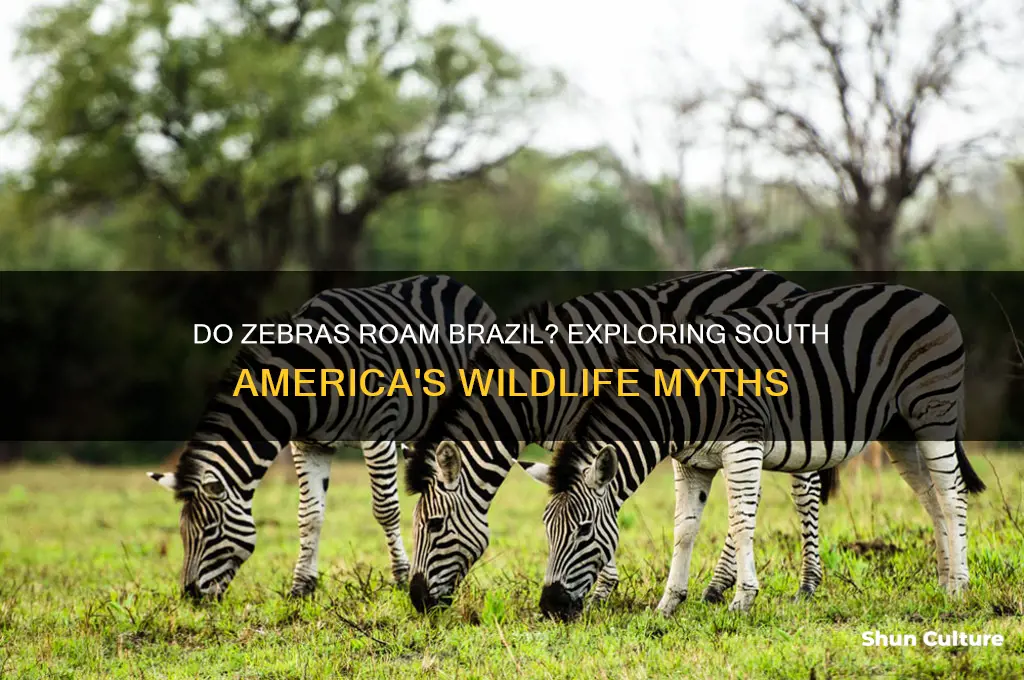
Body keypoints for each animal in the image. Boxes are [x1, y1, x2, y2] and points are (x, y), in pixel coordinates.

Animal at [146, 275, 495, 600]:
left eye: (210, 530)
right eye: (182, 533)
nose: (190, 595)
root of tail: (450, 281)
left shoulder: (378, 433)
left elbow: (385, 509)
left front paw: (400, 576)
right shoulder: (308, 445)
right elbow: (309, 516)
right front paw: (302, 586)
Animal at [403, 268, 839, 613]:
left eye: (434, 524)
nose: (417, 601)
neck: (541, 384)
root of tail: (785, 281)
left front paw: (601, 590)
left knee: (805, 489)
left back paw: (806, 584)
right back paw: (717, 587)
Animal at [532, 282, 986, 620]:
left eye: (584, 530)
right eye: (547, 531)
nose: (550, 607)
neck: (678, 402)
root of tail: (924, 296)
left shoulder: (742, 445)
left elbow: (740, 522)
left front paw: (742, 599)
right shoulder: (691, 465)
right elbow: (684, 529)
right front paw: (668, 604)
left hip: (932, 411)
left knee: (952, 495)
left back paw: (960, 590)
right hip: (899, 431)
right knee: (931, 498)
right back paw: (944, 582)